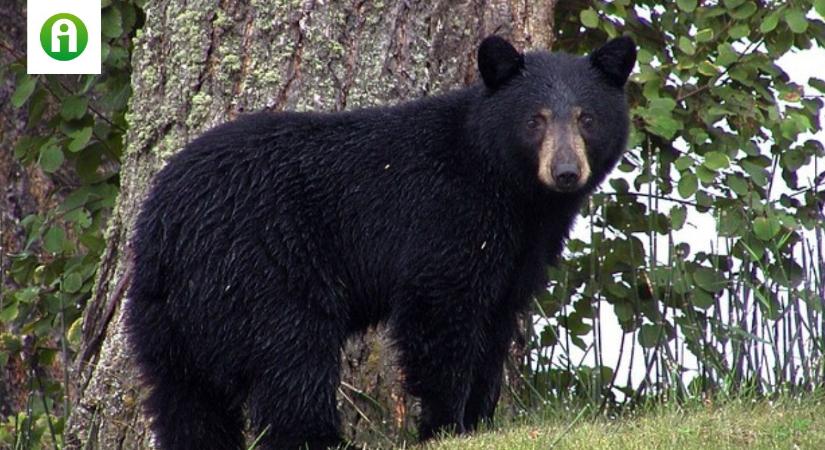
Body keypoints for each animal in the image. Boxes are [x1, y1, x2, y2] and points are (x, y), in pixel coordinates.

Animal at [124, 36, 636, 450]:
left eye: (587, 118)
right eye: (536, 120)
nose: (566, 172)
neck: (510, 189)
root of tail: (164, 225)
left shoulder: (519, 252)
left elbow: (495, 324)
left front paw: (480, 422)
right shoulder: (447, 217)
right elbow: (440, 315)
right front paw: (445, 426)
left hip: (164, 314)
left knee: (184, 396)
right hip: (261, 270)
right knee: (291, 359)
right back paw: (323, 439)